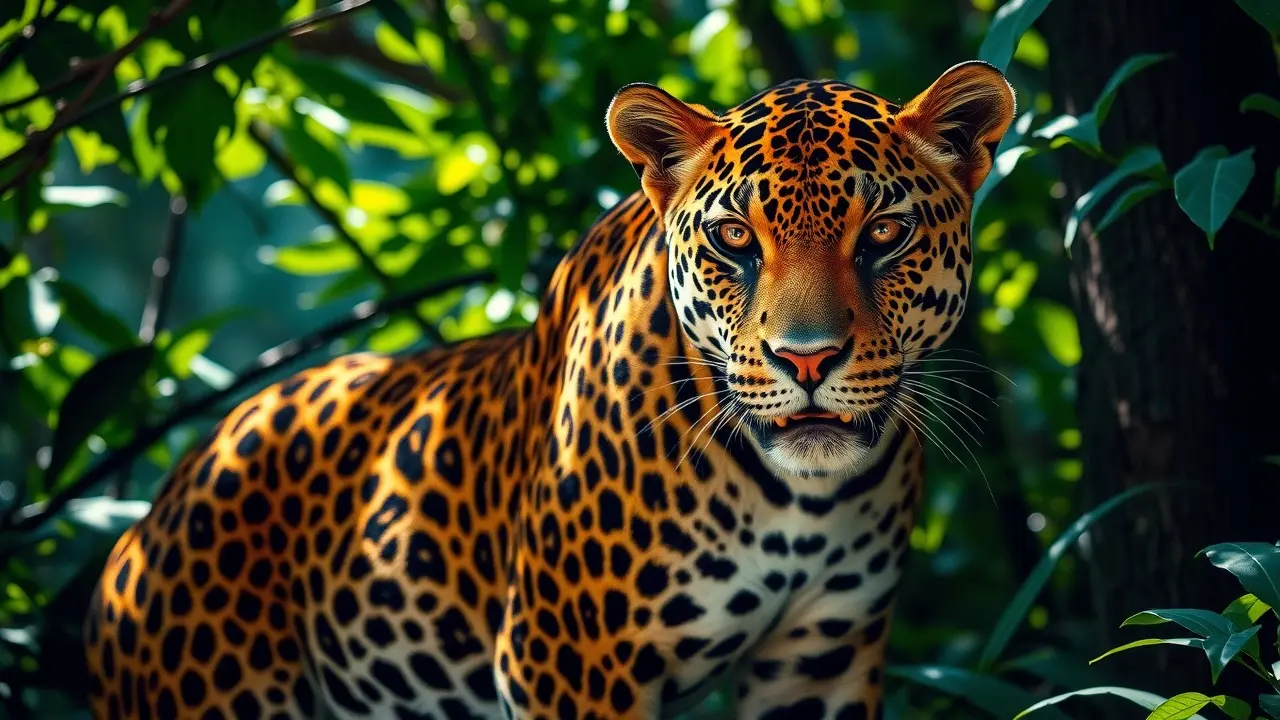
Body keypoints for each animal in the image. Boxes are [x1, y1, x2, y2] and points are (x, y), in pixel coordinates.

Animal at [84, 60, 1014, 720]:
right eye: (733, 238)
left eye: (884, 234)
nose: (807, 360)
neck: (798, 503)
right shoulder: (566, 658)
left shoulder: (823, 657)